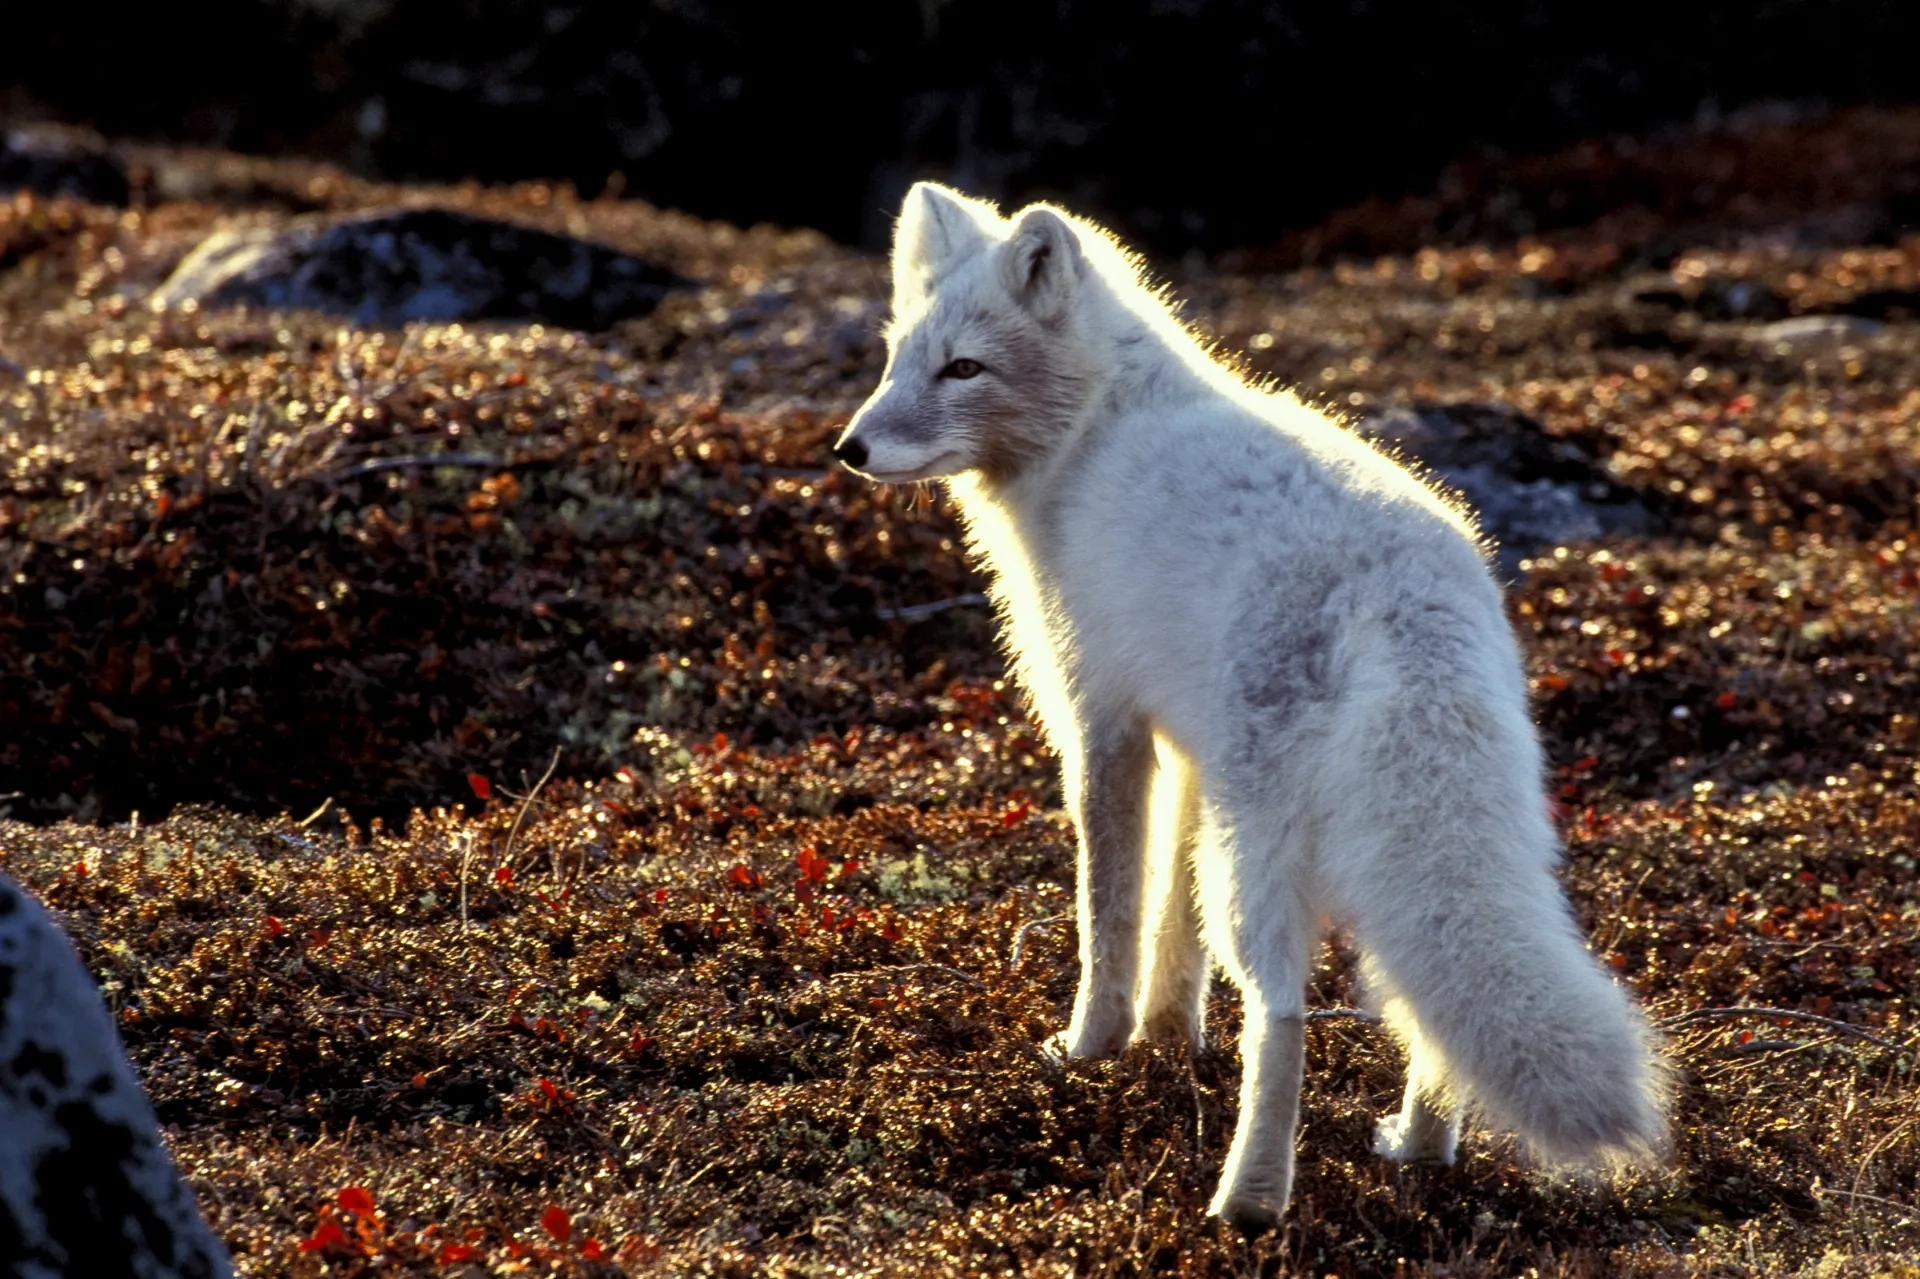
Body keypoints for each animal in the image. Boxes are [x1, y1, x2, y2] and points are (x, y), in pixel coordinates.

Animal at [830, 181, 1669, 1230]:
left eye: (964, 367)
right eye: (897, 356)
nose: (850, 449)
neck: (1094, 432)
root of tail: (1405, 598)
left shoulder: (1103, 721)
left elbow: (1109, 910)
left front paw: (1092, 1047)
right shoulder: (1189, 749)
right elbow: (1170, 927)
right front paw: (1166, 1038)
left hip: (1259, 851)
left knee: (1282, 1013)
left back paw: (1250, 1200)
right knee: (1422, 996)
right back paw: (1419, 1150)